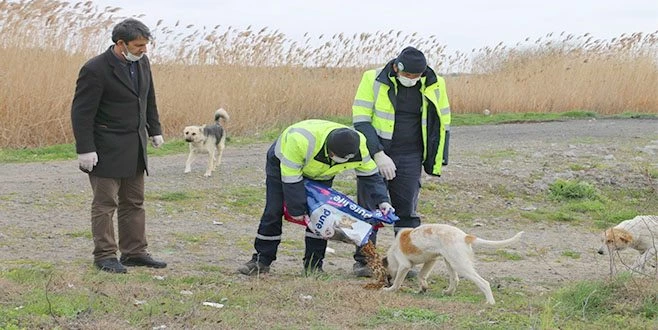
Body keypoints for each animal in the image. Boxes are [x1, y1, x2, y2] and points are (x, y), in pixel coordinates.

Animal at [380, 224, 524, 304]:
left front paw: (389, 289)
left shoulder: (404, 265)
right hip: (450, 261)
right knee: (455, 280)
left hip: (460, 265)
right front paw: (422, 289)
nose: (387, 282)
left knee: (484, 283)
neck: (392, 250)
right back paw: (448, 293)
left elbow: (398, 282)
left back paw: (490, 302)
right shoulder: (431, 260)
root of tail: (465, 236)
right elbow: (421, 276)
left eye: (387, 275)